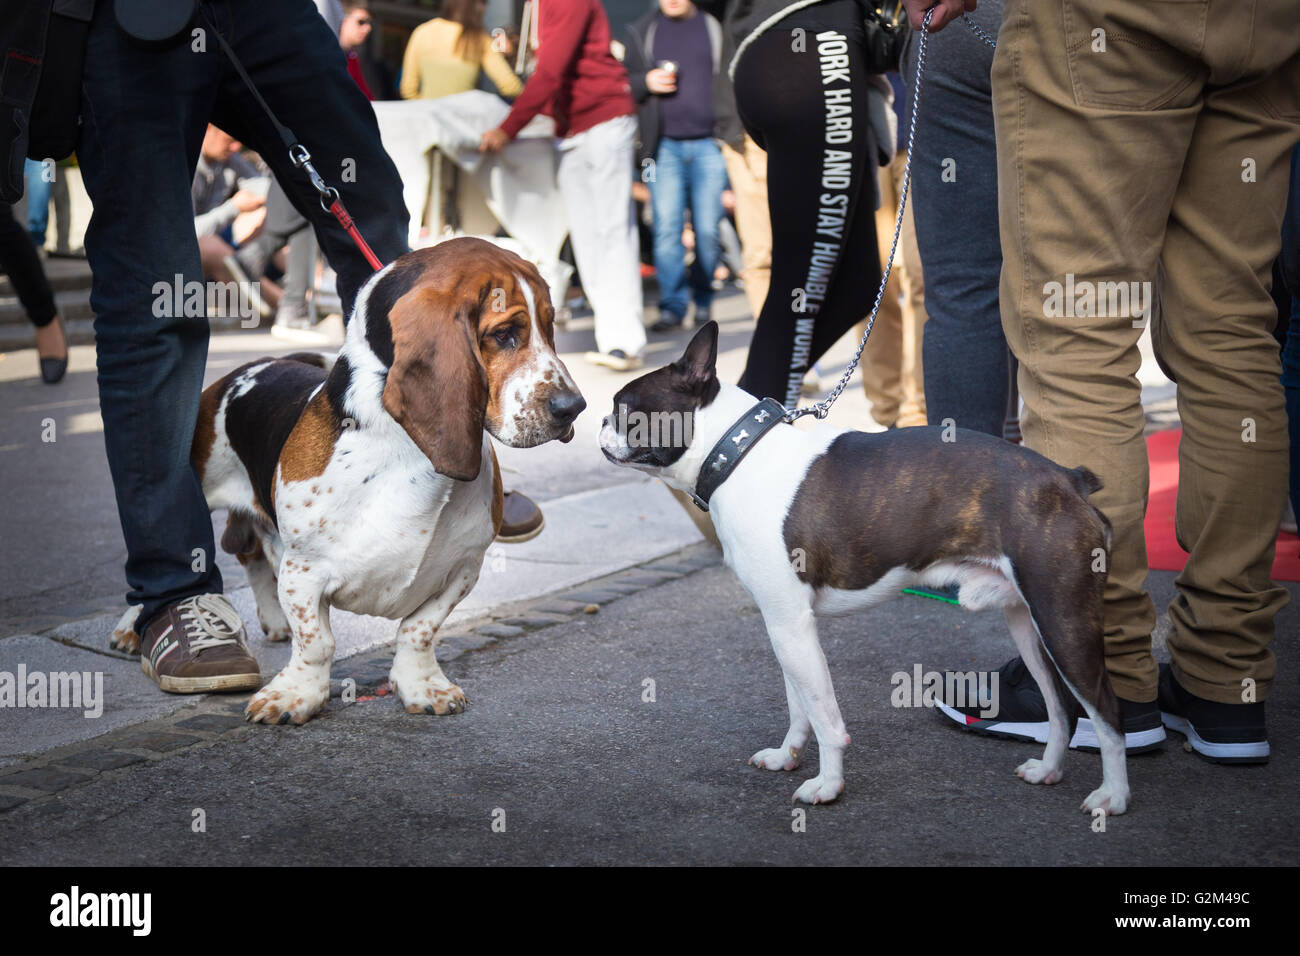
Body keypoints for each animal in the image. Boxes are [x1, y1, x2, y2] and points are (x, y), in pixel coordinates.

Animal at [598, 323, 1128, 816]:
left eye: (625, 409)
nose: (599, 419)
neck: (736, 455)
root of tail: (1069, 480)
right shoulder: (784, 626)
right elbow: (798, 704)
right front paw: (787, 756)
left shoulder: (792, 625)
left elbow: (825, 716)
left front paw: (827, 786)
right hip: (1028, 621)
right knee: (1060, 706)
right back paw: (1049, 769)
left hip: (1063, 619)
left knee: (1105, 710)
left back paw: (1113, 796)